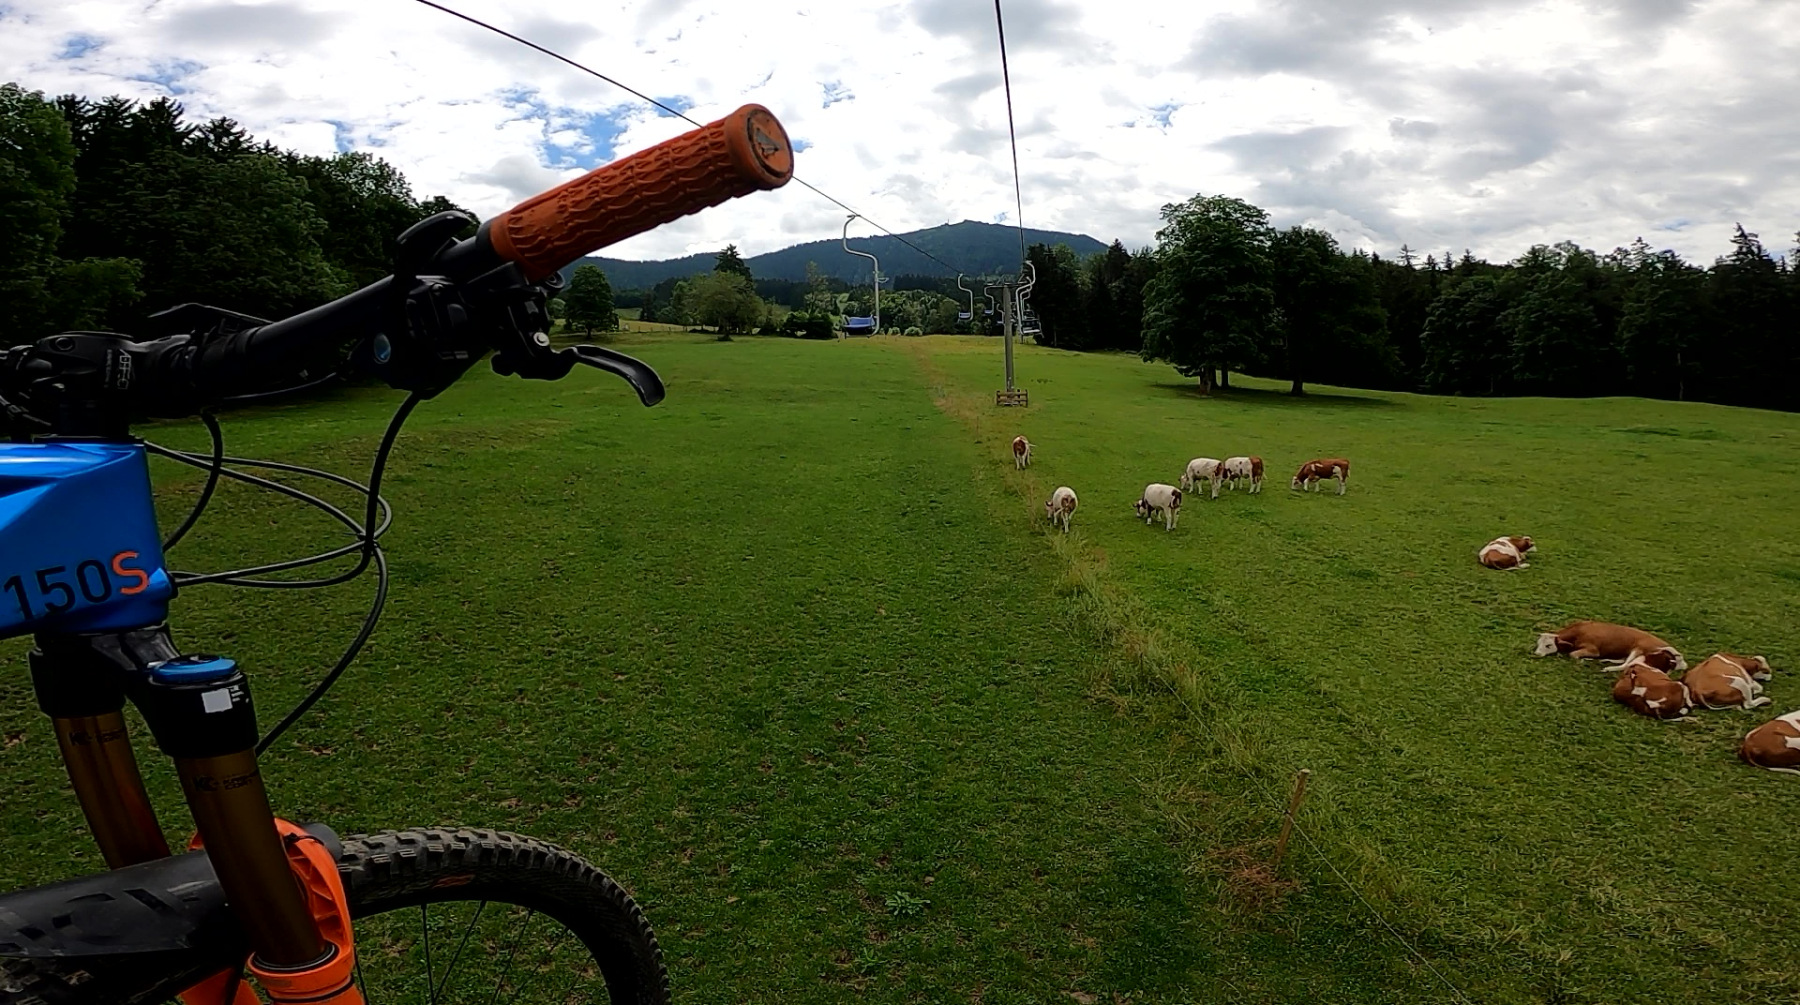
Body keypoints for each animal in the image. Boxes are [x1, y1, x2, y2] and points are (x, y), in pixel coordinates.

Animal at [1534, 620, 1686, 672]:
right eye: (1538, 643)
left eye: (1548, 645)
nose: (1537, 654)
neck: (1579, 632)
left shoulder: (1593, 649)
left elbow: (1573, 655)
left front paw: (1585, 660)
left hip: (1638, 650)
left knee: (1626, 665)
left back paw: (1608, 667)